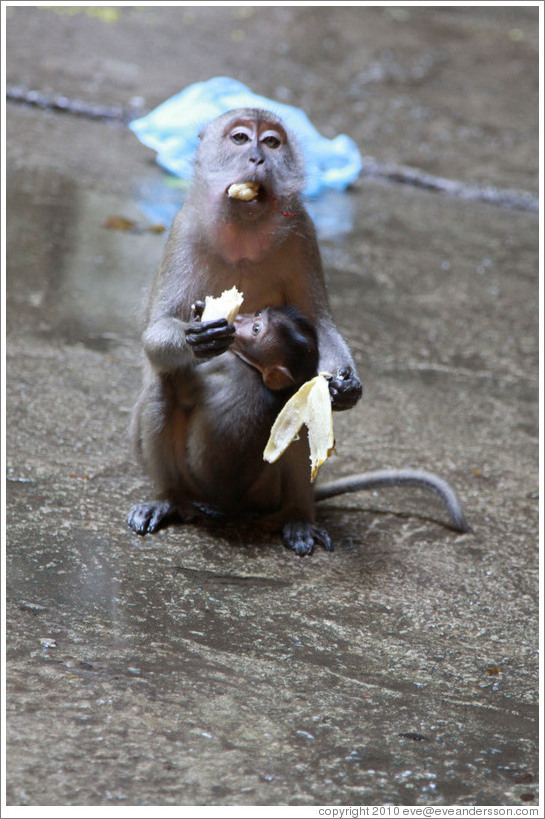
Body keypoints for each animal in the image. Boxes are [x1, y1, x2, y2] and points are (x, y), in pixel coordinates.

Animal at [129, 109, 468, 556]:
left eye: (272, 143)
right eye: (240, 139)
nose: (257, 157)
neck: (244, 233)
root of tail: (224, 506)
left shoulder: (303, 231)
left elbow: (319, 323)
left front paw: (347, 386)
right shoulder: (183, 229)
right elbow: (156, 333)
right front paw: (193, 339)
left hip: (265, 489)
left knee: (301, 399)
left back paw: (298, 515)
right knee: (162, 385)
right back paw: (168, 499)